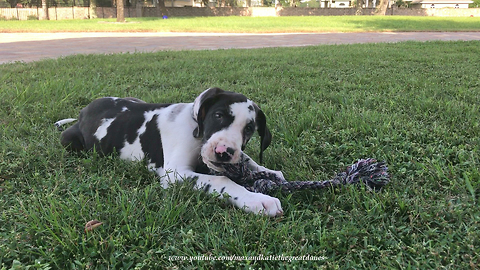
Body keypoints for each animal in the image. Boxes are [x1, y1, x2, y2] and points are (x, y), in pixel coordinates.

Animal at [58, 88, 286, 217]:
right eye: (218, 115)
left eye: (249, 128)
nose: (224, 152)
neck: (195, 127)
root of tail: (83, 111)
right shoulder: (175, 174)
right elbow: (222, 180)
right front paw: (257, 200)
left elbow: (248, 160)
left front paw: (271, 173)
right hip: (68, 141)